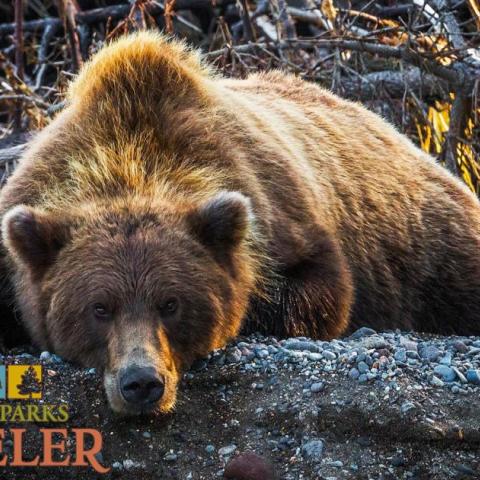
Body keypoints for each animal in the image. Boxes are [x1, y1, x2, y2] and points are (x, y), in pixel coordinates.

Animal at [0, 31, 480, 414]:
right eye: (99, 307)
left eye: (170, 302)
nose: (141, 383)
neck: (130, 159)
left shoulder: (276, 212)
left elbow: (316, 292)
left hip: (434, 248)